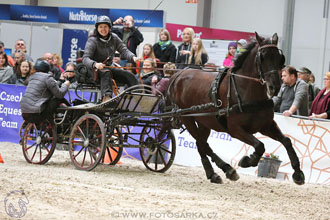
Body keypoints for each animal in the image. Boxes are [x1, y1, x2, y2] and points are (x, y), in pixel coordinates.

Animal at [169, 32, 306, 184]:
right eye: (262, 57)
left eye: (279, 57)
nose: (274, 87)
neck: (248, 91)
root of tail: (178, 74)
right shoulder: (235, 129)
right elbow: (260, 145)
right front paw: (247, 160)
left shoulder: (266, 125)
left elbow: (287, 141)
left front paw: (298, 173)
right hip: (187, 119)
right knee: (203, 144)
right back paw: (227, 169)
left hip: (204, 122)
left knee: (201, 145)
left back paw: (213, 174)